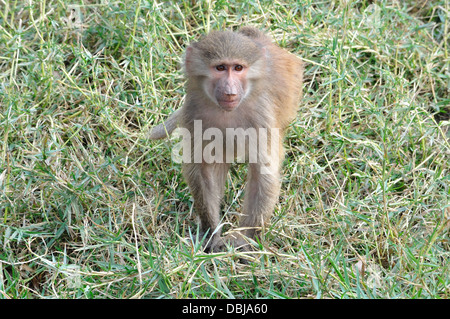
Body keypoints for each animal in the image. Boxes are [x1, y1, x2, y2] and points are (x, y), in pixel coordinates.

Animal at [150, 26, 302, 252]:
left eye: (238, 68)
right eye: (220, 68)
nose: (230, 92)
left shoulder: (261, 117)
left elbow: (263, 173)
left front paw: (243, 239)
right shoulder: (193, 112)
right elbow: (202, 170)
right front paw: (211, 235)